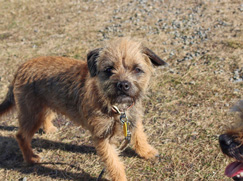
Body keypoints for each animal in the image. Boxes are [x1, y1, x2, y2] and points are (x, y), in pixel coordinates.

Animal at [0, 37, 167, 180]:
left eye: (137, 69)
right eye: (109, 69)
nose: (123, 85)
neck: (117, 107)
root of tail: (22, 67)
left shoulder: (133, 120)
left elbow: (140, 136)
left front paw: (146, 151)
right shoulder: (103, 138)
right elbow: (113, 163)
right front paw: (120, 178)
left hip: (45, 106)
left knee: (44, 117)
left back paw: (48, 129)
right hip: (31, 114)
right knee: (21, 136)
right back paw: (31, 158)